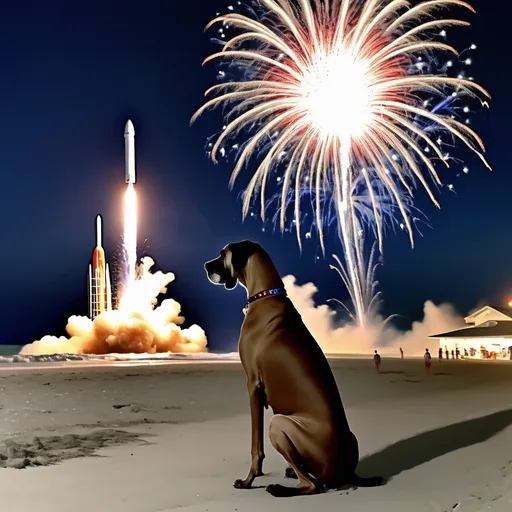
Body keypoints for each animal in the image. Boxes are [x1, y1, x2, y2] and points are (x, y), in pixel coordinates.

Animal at [204, 242, 384, 498]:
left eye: (223, 254)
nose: (205, 266)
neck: (266, 294)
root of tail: (346, 472)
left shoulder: (253, 385)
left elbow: (256, 447)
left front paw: (249, 480)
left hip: (279, 424)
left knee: (312, 485)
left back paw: (280, 488)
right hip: (348, 438)